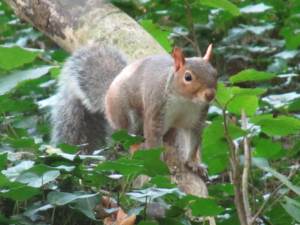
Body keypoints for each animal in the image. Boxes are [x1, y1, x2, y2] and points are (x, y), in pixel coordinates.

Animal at [50, 43, 217, 174]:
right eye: (188, 77)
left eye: (215, 73)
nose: (210, 95)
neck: (186, 101)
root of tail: (107, 97)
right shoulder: (156, 108)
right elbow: (153, 139)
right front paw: (159, 164)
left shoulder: (197, 118)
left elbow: (194, 142)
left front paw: (194, 163)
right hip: (126, 117)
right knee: (128, 137)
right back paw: (134, 146)